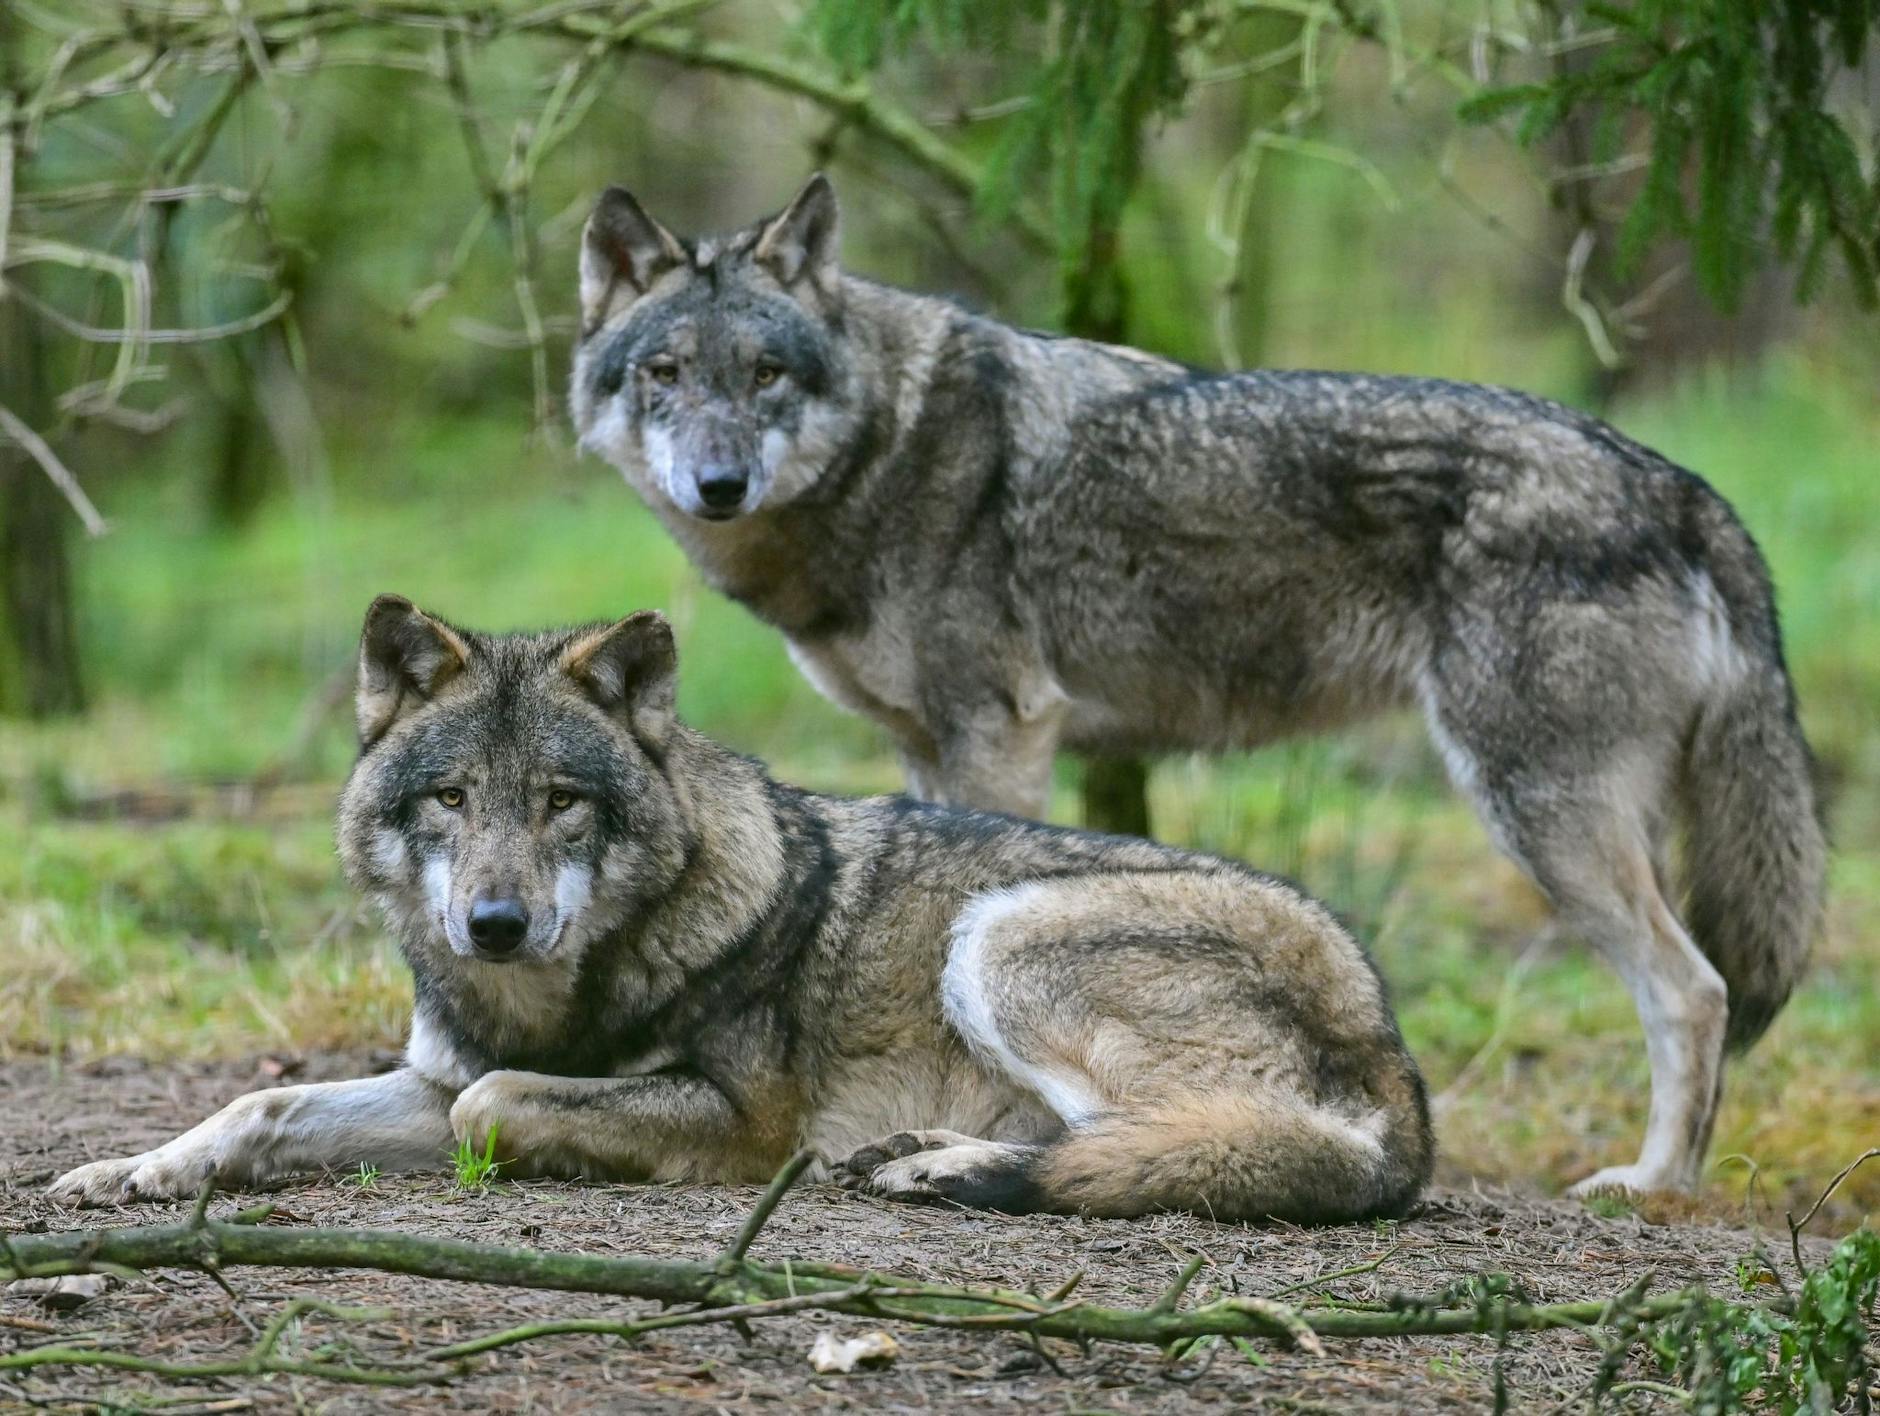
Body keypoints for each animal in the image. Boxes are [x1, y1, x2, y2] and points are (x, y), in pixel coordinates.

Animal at [48, 596, 1432, 1222]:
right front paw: (131, 1168)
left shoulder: (737, 1121)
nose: (493, 924)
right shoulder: (434, 1075)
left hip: (1002, 935)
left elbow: (497, 1107)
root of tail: (1392, 1045)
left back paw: (947, 1166)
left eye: (560, 802)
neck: (557, 997)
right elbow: (266, 1106)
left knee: (1192, 1143)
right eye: (449, 797)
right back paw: (927, 1157)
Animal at [567, 174, 1826, 1196]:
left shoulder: (997, 735)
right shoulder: (928, 748)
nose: (717, 484)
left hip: (1535, 815)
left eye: (765, 374)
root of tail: (1678, 485)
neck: (889, 446)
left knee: (1694, 992)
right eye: (665, 375)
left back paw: (1653, 1184)